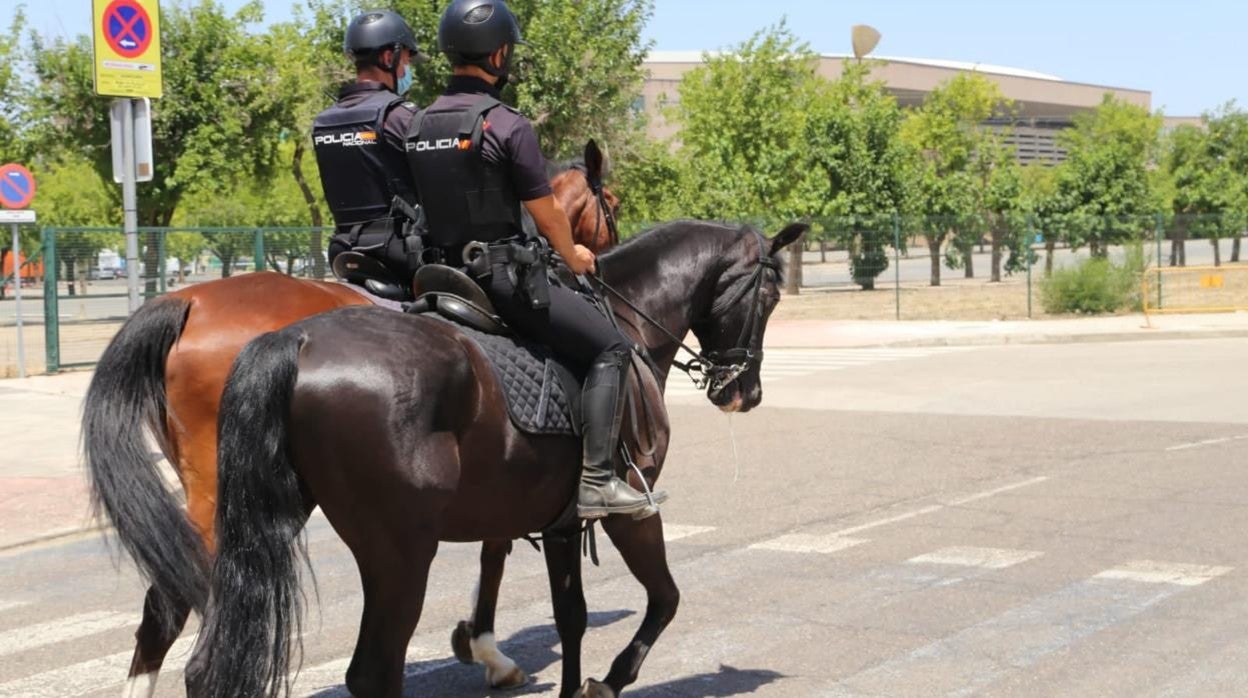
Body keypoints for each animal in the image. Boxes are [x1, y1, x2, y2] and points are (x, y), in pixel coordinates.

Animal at [80, 141, 623, 696]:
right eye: (613, 205)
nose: (593, 267)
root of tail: (186, 298)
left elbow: (498, 539)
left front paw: (481, 643)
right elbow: (497, 544)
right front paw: (488, 648)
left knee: (165, 597)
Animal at [184, 220, 806, 698]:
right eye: (768, 298)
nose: (744, 392)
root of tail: (298, 341)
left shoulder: (560, 523)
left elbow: (571, 615)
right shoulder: (632, 510)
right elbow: (665, 599)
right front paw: (606, 681)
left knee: (208, 663)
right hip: (401, 553)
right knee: (373, 673)